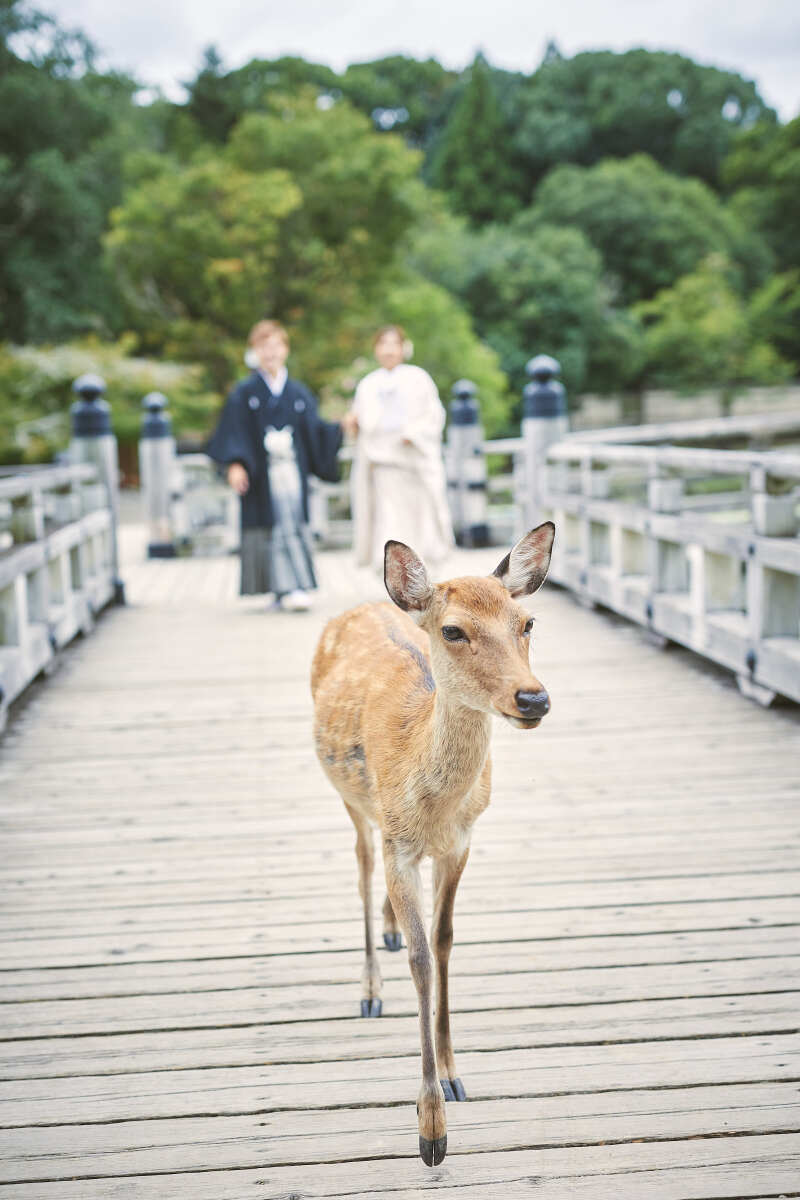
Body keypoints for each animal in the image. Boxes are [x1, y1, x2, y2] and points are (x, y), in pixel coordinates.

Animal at [310, 521, 555, 1166]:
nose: (533, 698)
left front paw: (453, 1075)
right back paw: (370, 988)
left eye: (527, 623)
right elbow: (421, 960)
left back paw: (391, 927)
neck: (433, 809)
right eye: (453, 630)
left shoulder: (461, 842)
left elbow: (443, 943)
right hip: (350, 798)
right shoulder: (400, 843)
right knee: (360, 864)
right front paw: (430, 1129)